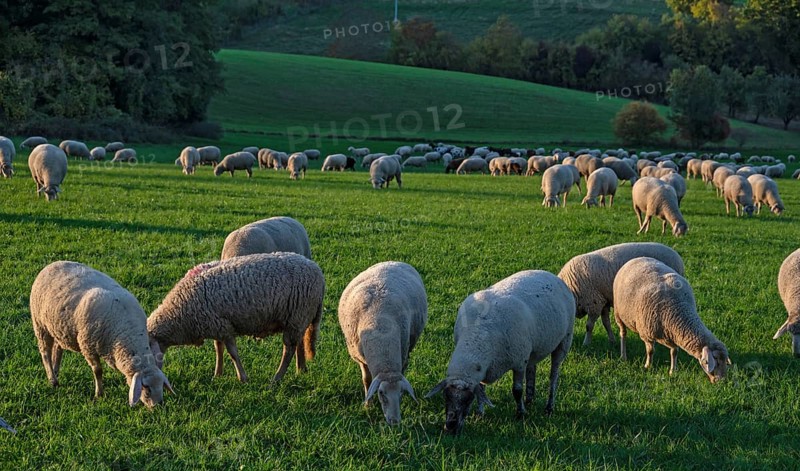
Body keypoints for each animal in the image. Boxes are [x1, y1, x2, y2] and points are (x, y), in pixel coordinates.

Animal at [30, 261, 174, 406]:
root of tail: (53, 263)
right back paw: (52, 380)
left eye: (161, 386)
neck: (126, 332)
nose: (159, 405)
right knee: (45, 353)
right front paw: (99, 394)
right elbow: (98, 371)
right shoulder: (88, 346)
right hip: (40, 325)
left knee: (58, 348)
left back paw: (55, 371)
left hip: (58, 328)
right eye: (147, 388)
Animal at [147, 252, 324, 385]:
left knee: (288, 350)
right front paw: (217, 374)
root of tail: (318, 272)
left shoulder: (224, 327)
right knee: (299, 343)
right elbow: (218, 349)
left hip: (297, 315)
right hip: (297, 318)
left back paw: (276, 379)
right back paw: (301, 369)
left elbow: (232, 353)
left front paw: (242, 378)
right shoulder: (216, 325)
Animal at [338, 262, 427, 425]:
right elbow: (367, 380)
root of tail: (394, 261)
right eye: (381, 393)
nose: (395, 422)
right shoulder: (361, 359)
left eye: (400, 392)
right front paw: (368, 405)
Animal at [425, 270, 574, 434]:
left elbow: (517, 390)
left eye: (468, 399)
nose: (450, 428)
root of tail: (549, 274)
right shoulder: (489, 366)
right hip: (533, 349)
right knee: (532, 369)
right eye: (445, 396)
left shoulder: (519, 361)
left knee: (554, 375)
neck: (478, 333)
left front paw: (520, 414)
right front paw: (480, 413)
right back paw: (529, 400)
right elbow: (482, 389)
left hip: (564, 340)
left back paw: (549, 407)